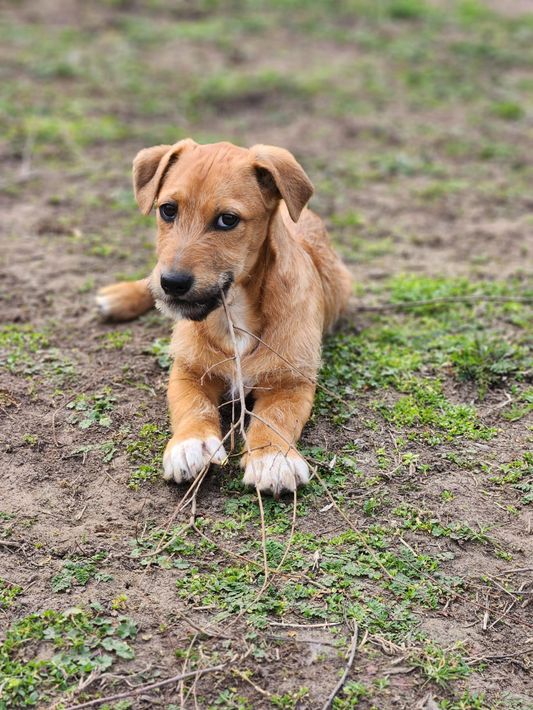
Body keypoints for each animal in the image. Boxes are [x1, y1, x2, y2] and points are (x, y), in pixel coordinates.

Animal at [96, 139, 352, 495]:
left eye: (227, 220)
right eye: (167, 210)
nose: (173, 283)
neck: (234, 314)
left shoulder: (292, 379)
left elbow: (276, 417)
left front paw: (273, 457)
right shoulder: (188, 369)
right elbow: (192, 407)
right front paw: (191, 444)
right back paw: (119, 297)